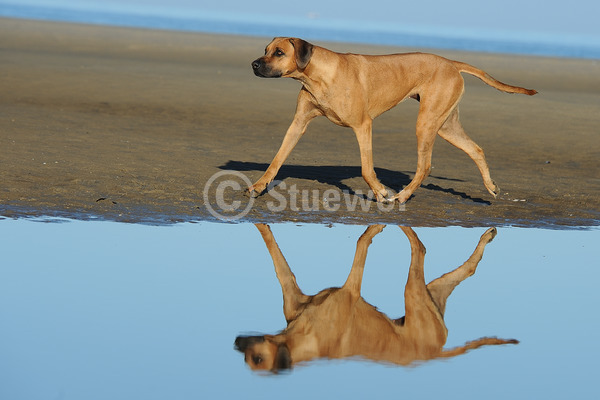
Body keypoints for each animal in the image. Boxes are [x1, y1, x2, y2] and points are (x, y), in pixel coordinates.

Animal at [234, 223, 516, 374]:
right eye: (245, 360)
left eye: (257, 359)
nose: (236, 342)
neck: (303, 337)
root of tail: (433, 354)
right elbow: (278, 263)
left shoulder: (350, 290)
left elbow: (361, 241)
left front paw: (374, 227)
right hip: (430, 295)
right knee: (465, 269)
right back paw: (487, 237)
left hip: (413, 293)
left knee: (419, 247)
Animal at [246, 37, 536, 203]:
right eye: (266, 50)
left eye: (279, 53)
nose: (253, 65)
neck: (317, 75)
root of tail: (451, 63)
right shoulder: (298, 124)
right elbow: (277, 159)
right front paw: (259, 186)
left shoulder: (363, 125)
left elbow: (366, 168)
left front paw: (380, 192)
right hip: (446, 125)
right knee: (476, 149)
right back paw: (490, 186)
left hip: (426, 124)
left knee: (425, 166)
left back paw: (403, 195)